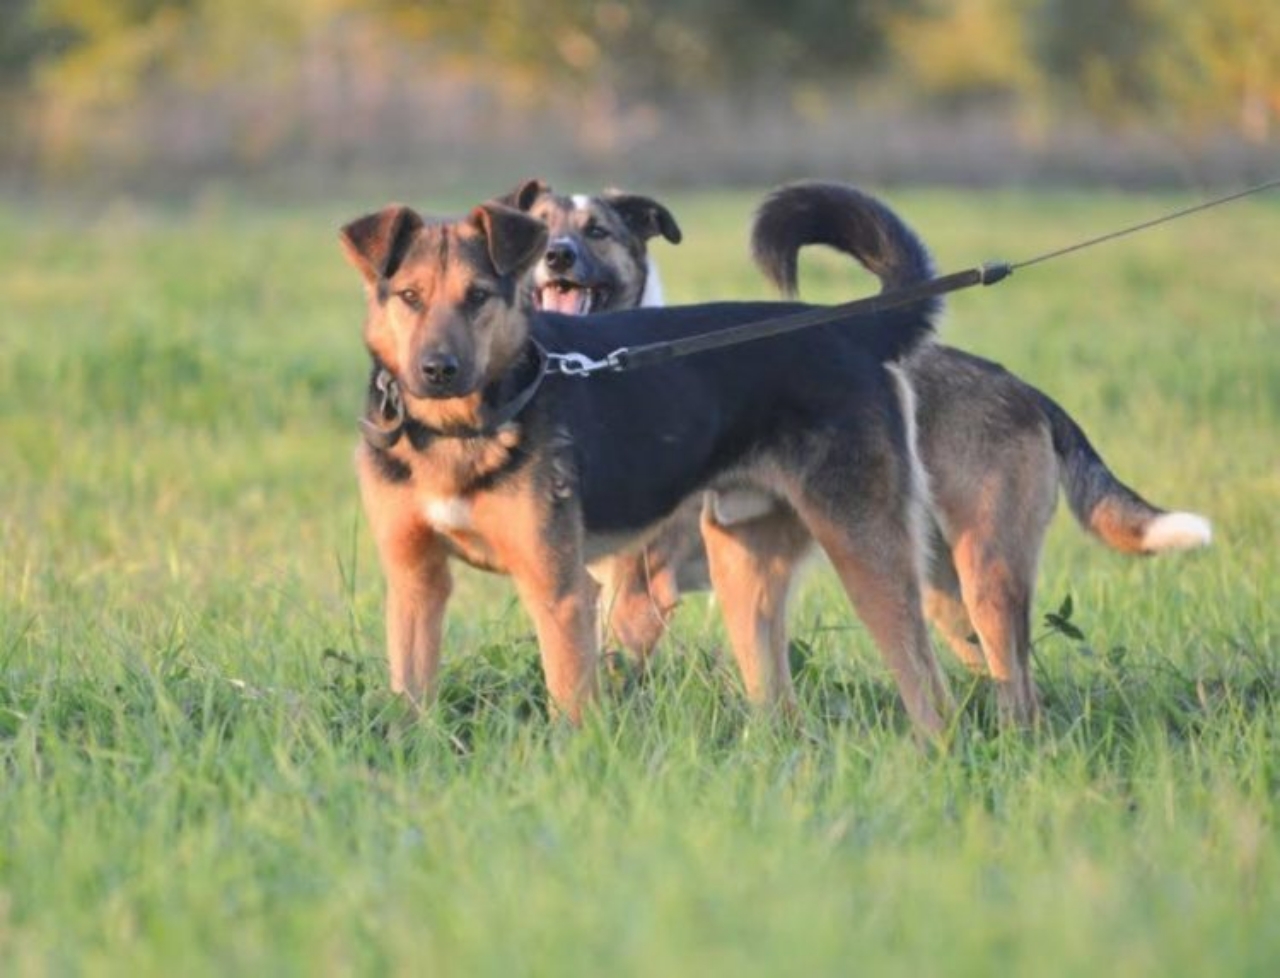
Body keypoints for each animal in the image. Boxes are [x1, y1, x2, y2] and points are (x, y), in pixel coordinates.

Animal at [335, 189, 957, 732]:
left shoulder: (562, 593)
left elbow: (572, 710)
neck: (455, 428)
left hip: (867, 552)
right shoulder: (416, 583)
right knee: (781, 705)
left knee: (928, 689)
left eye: (478, 296)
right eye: (409, 297)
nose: (438, 370)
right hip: (742, 568)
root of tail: (851, 327)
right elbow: (410, 701)